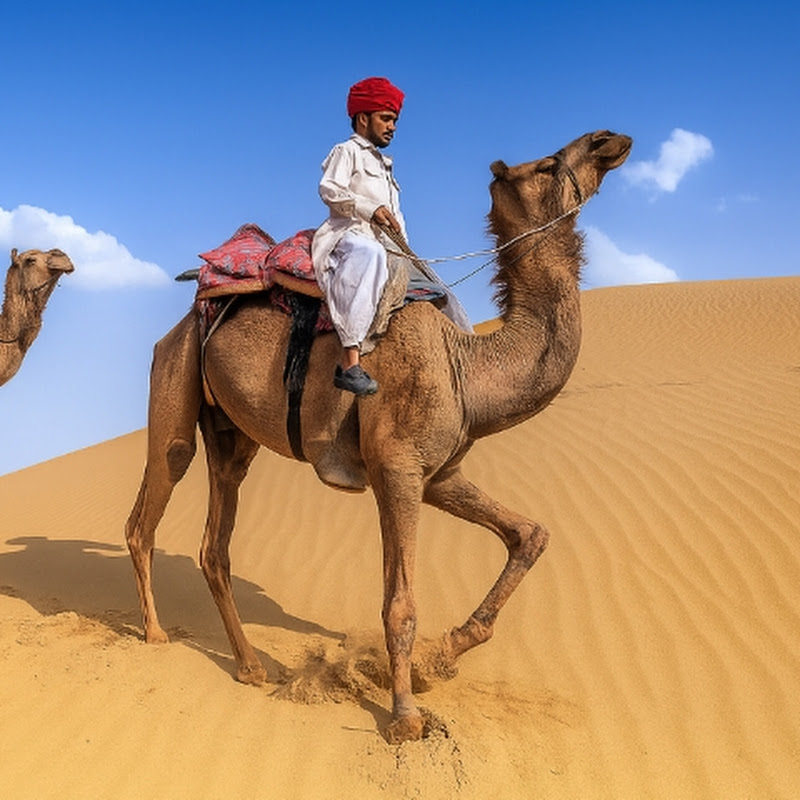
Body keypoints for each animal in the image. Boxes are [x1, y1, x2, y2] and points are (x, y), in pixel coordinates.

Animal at [125, 130, 632, 743]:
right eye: (550, 164)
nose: (609, 141)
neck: (468, 368)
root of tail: (183, 315)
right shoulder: (396, 470)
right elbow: (401, 605)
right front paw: (406, 715)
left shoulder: (439, 476)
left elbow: (530, 535)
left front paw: (447, 654)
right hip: (174, 378)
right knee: (155, 493)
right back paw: (155, 634)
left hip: (230, 432)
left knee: (214, 540)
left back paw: (250, 666)